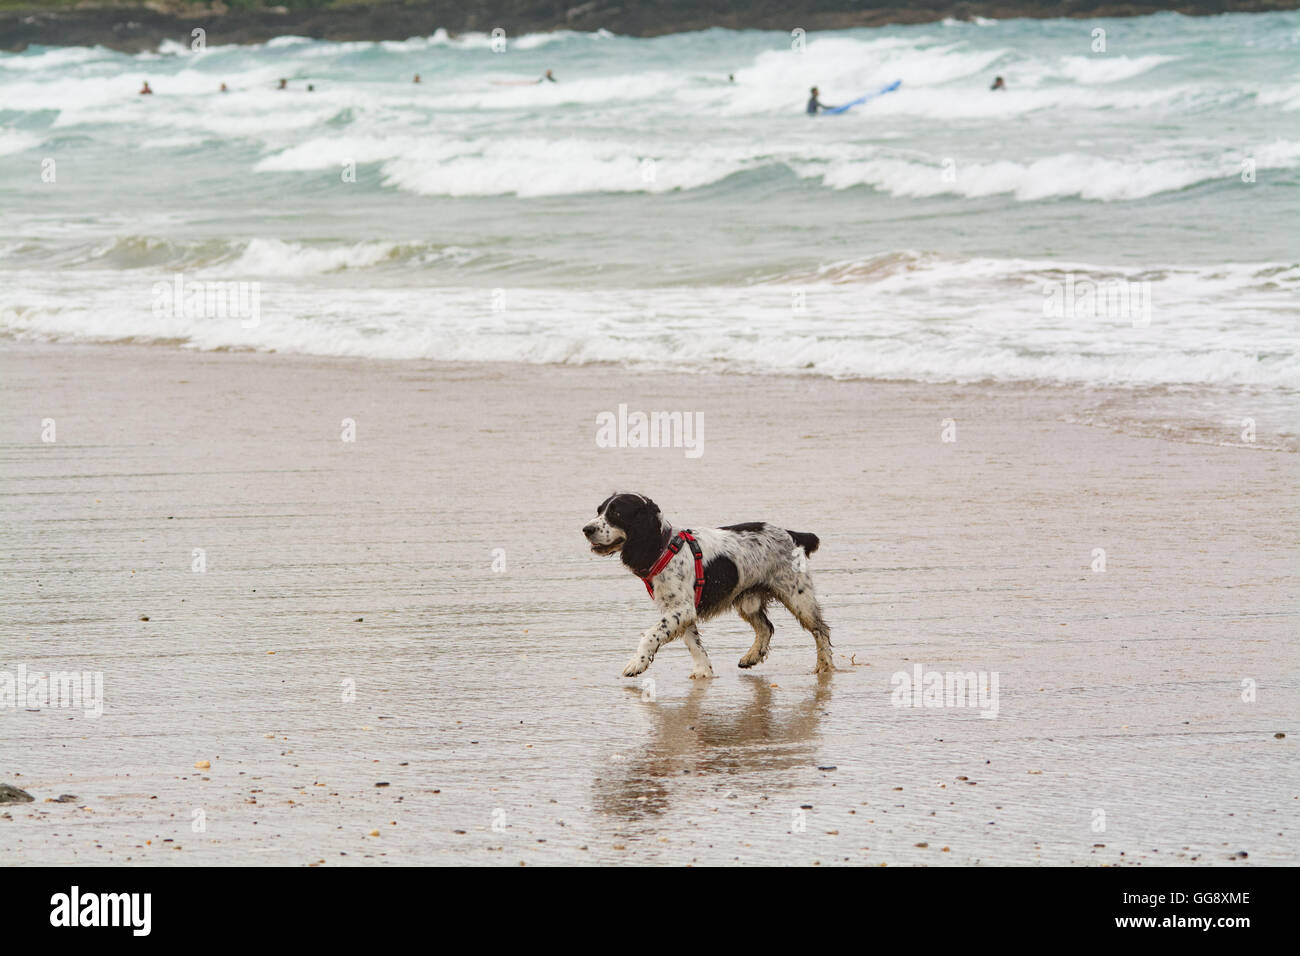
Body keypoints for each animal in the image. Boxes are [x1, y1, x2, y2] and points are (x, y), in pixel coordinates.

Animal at [582, 494, 832, 681]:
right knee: (766, 628)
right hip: (747, 599)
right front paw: (703, 671)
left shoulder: (681, 609)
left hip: (797, 596)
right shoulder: (679, 610)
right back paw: (751, 657)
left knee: (821, 630)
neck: (663, 548)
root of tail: (792, 534)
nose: (586, 529)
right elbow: (693, 643)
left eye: (616, 513)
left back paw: (824, 665)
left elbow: (651, 635)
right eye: (599, 511)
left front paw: (636, 663)